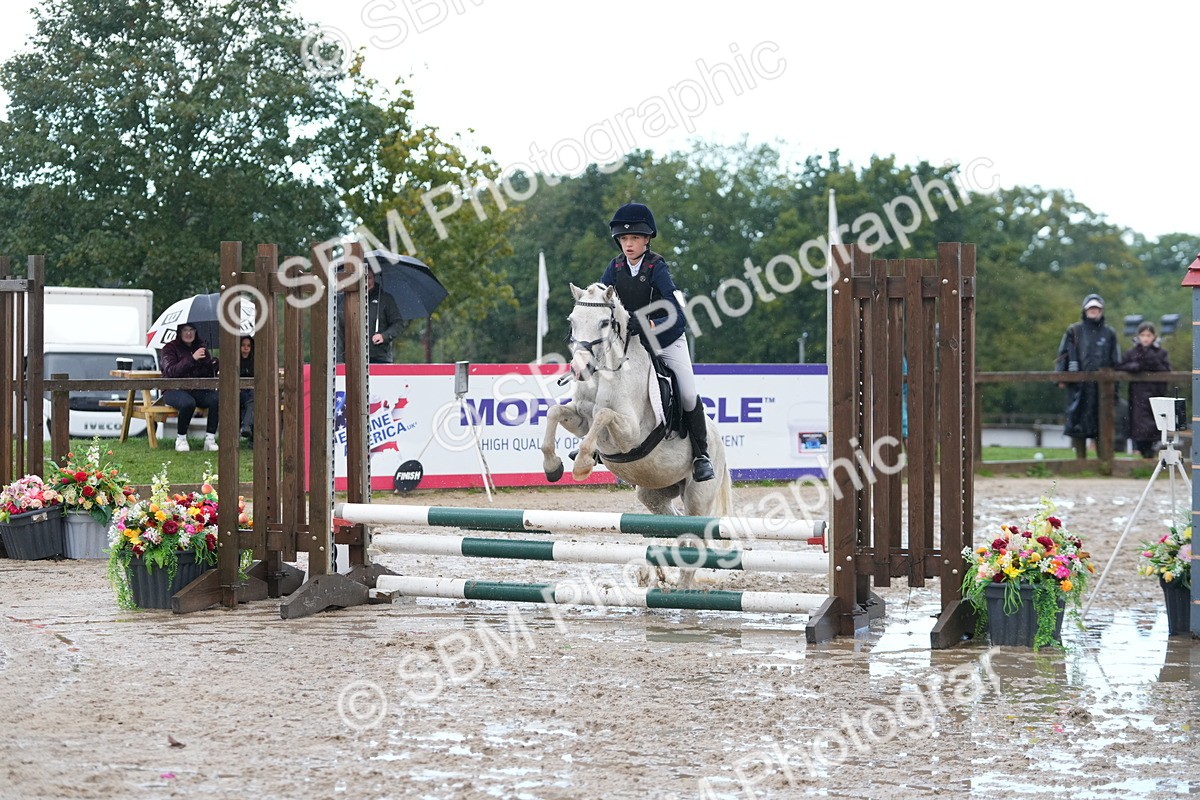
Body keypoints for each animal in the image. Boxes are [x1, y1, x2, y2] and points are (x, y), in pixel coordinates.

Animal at [540, 283, 733, 584]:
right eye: (572, 321)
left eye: (604, 322)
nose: (580, 369)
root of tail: (721, 448)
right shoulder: (580, 420)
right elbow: (554, 413)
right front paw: (553, 466)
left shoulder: (630, 433)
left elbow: (603, 415)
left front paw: (582, 464)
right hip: (655, 493)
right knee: (676, 526)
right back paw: (661, 574)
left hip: (698, 496)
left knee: (696, 541)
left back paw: (682, 587)